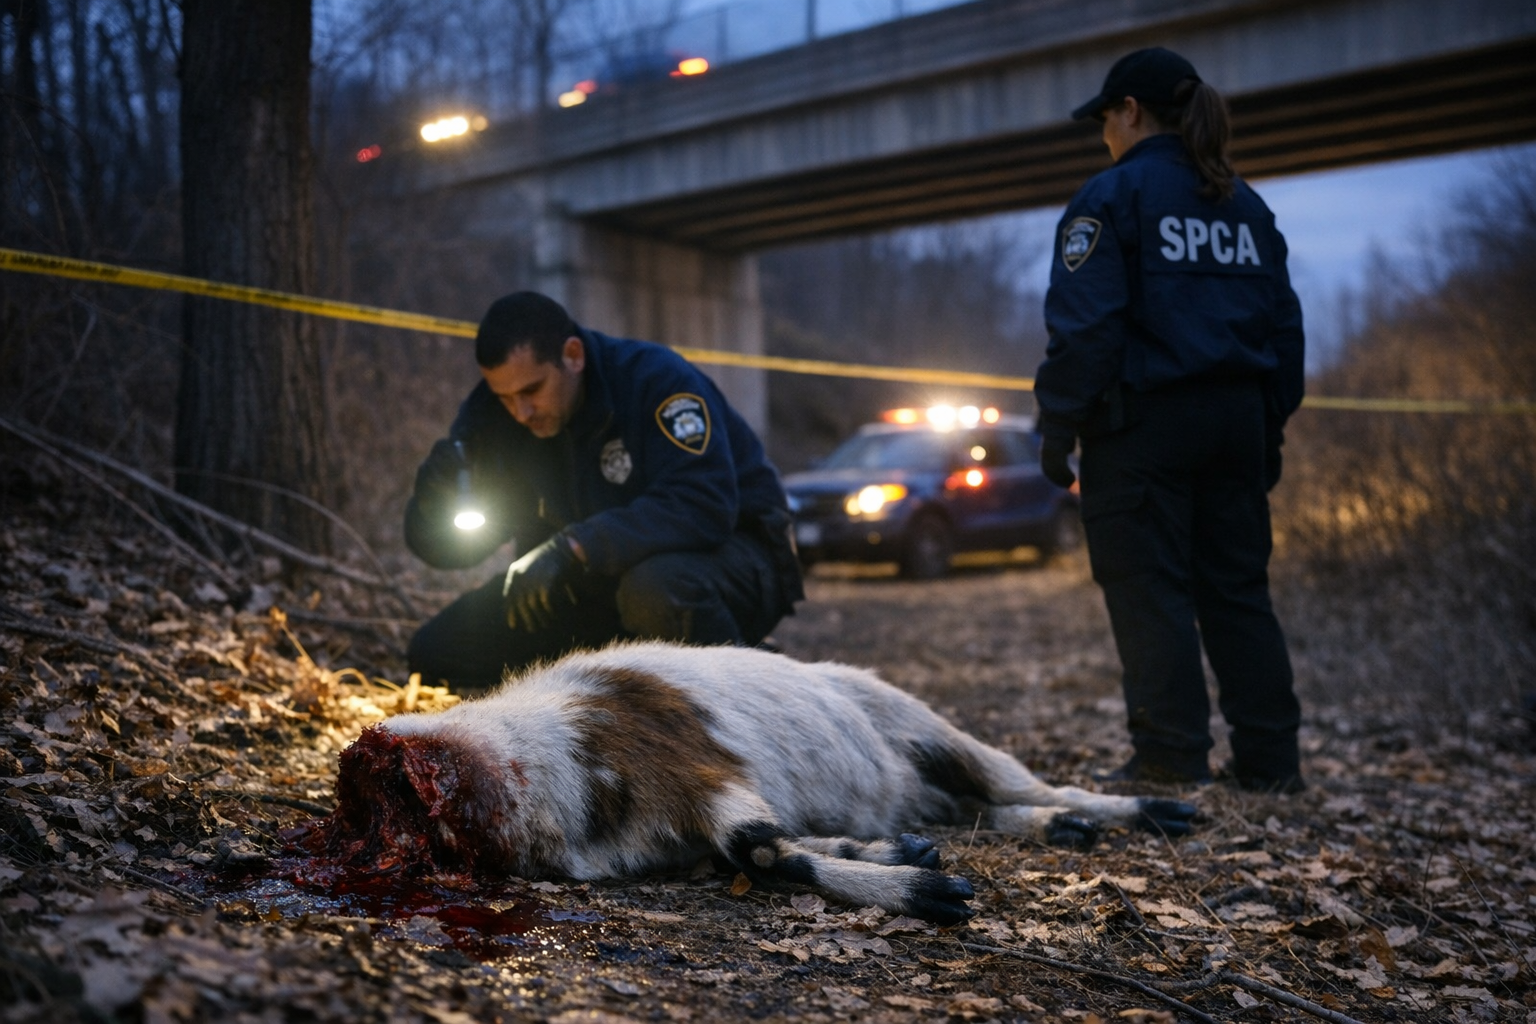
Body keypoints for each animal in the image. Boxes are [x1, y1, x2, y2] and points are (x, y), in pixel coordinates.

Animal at [306, 642, 1196, 924]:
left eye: (399, 785)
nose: (354, 759)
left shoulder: (696, 767)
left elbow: (758, 848)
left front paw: (927, 891)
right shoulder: (676, 833)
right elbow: (758, 853)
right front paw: (906, 863)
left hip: (933, 729)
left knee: (1024, 781)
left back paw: (1152, 810)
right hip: (929, 781)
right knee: (984, 808)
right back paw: (1057, 833)